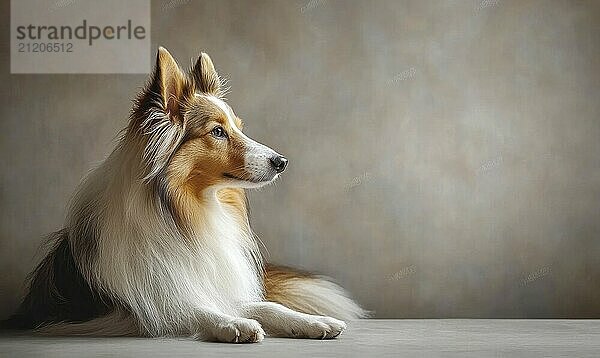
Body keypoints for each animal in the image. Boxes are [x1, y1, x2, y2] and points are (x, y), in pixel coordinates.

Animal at [5, 46, 366, 342]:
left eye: (238, 127)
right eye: (217, 132)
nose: (282, 162)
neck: (190, 211)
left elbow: (266, 306)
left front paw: (313, 322)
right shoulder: (141, 308)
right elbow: (190, 308)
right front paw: (232, 324)